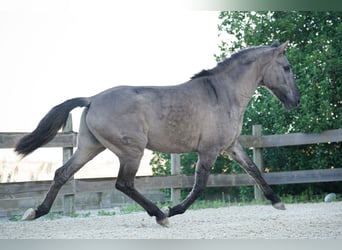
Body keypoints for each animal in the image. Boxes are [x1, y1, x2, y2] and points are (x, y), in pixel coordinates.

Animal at [16, 40, 300, 227]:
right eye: (286, 67)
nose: (295, 101)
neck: (223, 93)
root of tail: (93, 99)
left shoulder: (231, 146)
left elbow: (254, 169)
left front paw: (277, 201)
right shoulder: (208, 150)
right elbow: (199, 186)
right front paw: (172, 209)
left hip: (90, 146)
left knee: (62, 173)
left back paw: (35, 212)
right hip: (131, 150)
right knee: (123, 183)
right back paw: (160, 216)